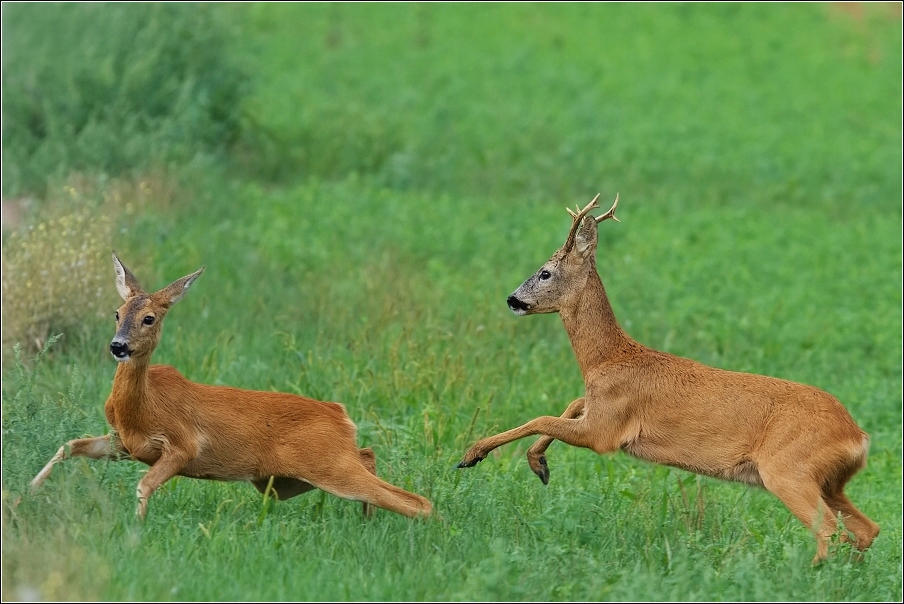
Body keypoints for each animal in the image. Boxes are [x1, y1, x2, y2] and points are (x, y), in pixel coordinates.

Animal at [30, 250, 432, 520]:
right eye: (117, 313)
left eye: (149, 318)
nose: (118, 346)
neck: (141, 408)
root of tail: (341, 414)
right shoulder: (126, 444)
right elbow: (69, 445)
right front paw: (27, 494)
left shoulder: (183, 444)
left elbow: (144, 485)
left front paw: (135, 533)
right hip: (324, 465)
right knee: (371, 456)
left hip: (329, 464)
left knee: (417, 502)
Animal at [456, 193, 880, 560]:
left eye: (545, 272)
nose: (512, 299)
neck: (605, 359)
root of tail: (857, 436)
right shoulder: (599, 408)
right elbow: (570, 404)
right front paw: (538, 464)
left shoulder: (606, 433)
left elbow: (541, 417)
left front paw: (473, 454)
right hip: (829, 481)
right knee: (867, 529)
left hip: (789, 470)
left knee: (832, 532)